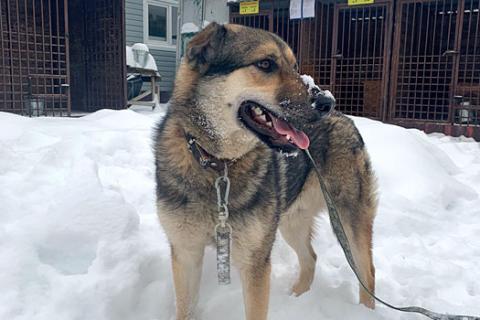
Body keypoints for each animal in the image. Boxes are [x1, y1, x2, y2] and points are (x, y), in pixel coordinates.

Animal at [156, 23, 376, 320]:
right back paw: (297, 298)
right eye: (265, 64)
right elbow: (186, 309)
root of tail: (345, 118)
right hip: (290, 222)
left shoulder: (255, 262)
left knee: (367, 271)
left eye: (294, 66)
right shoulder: (185, 253)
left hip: (349, 219)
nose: (327, 101)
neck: (218, 164)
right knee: (310, 258)